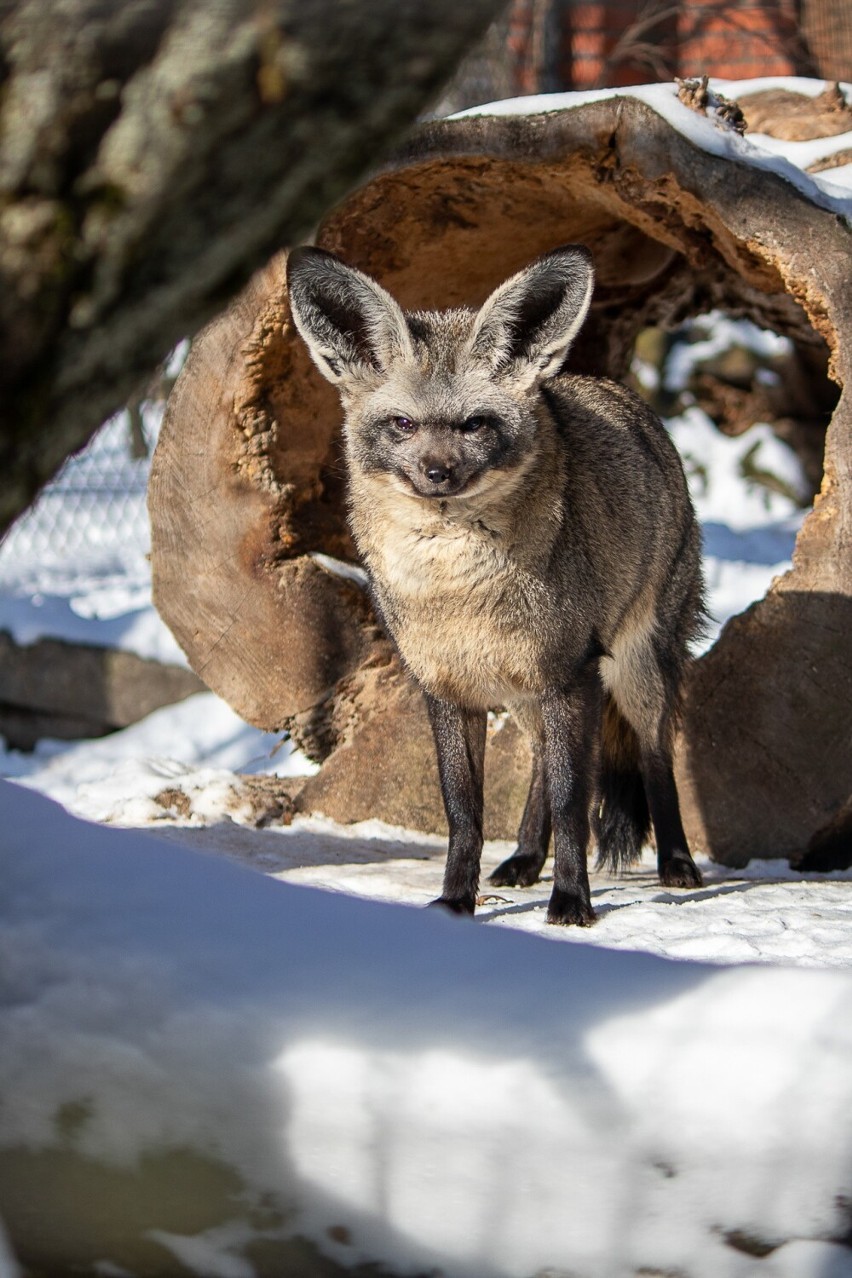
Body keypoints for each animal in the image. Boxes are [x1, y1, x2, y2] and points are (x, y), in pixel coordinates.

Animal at [286, 244, 705, 925]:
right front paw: (458, 899)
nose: (438, 473)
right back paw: (526, 859)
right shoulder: (447, 686)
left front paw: (572, 902)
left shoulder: (570, 673)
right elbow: (466, 813)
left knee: (651, 756)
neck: (458, 592)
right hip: (527, 693)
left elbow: (573, 805)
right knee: (539, 768)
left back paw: (677, 862)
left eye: (475, 424)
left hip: (631, 672)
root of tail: (618, 391)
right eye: (402, 424)